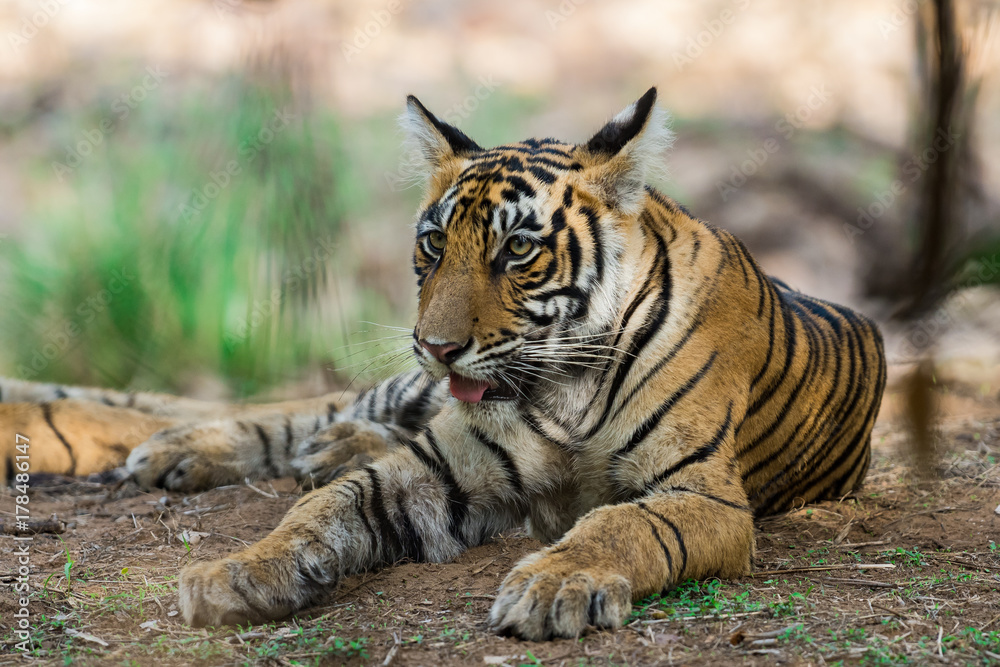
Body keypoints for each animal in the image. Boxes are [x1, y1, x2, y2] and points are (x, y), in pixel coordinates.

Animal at [0, 87, 886, 640]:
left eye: (517, 249)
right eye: (433, 242)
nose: (436, 343)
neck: (563, 385)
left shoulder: (702, 494)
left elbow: (620, 521)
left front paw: (552, 584)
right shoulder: (445, 464)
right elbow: (323, 508)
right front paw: (237, 573)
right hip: (397, 390)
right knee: (300, 412)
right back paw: (187, 450)